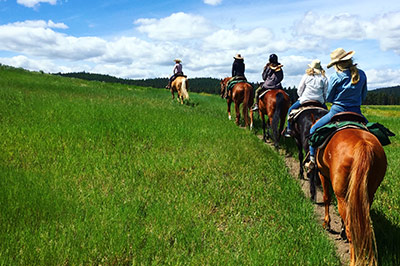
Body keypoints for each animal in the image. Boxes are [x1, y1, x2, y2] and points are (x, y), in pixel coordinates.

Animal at [316, 128, 388, 264]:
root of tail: (363, 145)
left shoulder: (322, 173)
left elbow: (326, 197)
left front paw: (327, 223)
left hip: (342, 198)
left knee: (352, 230)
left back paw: (353, 261)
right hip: (367, 196)